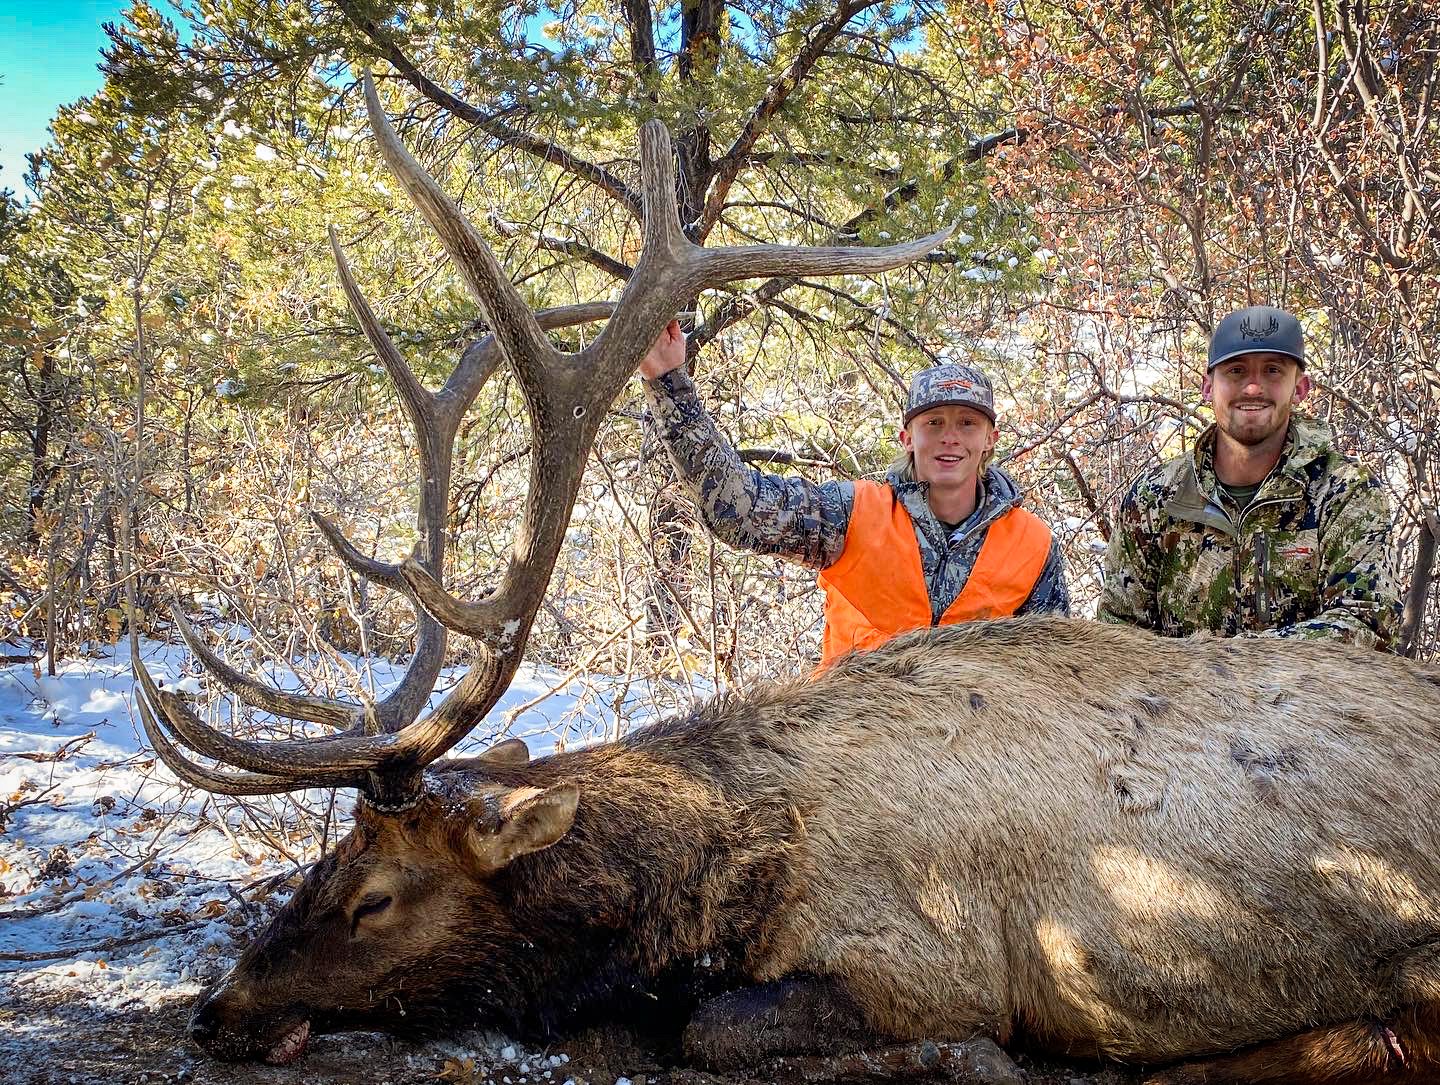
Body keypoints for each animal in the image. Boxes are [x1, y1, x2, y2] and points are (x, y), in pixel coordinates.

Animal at [131, 74, 1440, 1085]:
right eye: (324, 863)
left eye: (377, 896)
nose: (216, 1009)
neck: (722, 871)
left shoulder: (931, 964)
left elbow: (711, 1028)